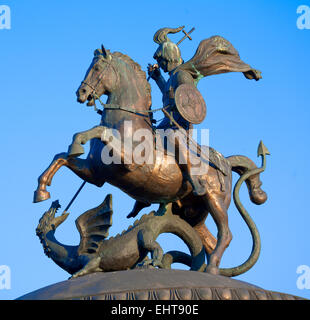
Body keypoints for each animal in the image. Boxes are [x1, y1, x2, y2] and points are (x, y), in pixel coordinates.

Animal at [33, 45, 266, 276]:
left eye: (97, 67)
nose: (80, 93)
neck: (128, 123)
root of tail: (225, 161)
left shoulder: (129, 162)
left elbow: (98, 131)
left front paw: (78, 143)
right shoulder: (95, 174)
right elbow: (61, 157)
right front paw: (42, 191)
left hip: (215, 200)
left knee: (225, 235)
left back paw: (210, 268)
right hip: (193, 213)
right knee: (207, 242)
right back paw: (209, 269)